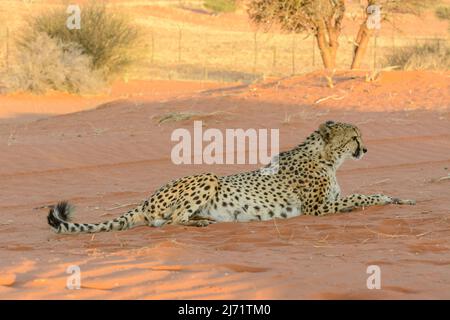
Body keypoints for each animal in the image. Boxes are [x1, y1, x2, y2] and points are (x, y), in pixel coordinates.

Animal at [48, 120, 414, 235]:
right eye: (354, 137)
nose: (365, 149)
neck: (327, 157)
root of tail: (146, 198)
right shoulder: (318, 208)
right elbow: (364, 195)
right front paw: (391, 198)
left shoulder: (328, 203)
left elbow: (359, 194)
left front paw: (398, 197)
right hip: (208, 176)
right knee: (169, 221)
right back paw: (201, 222)